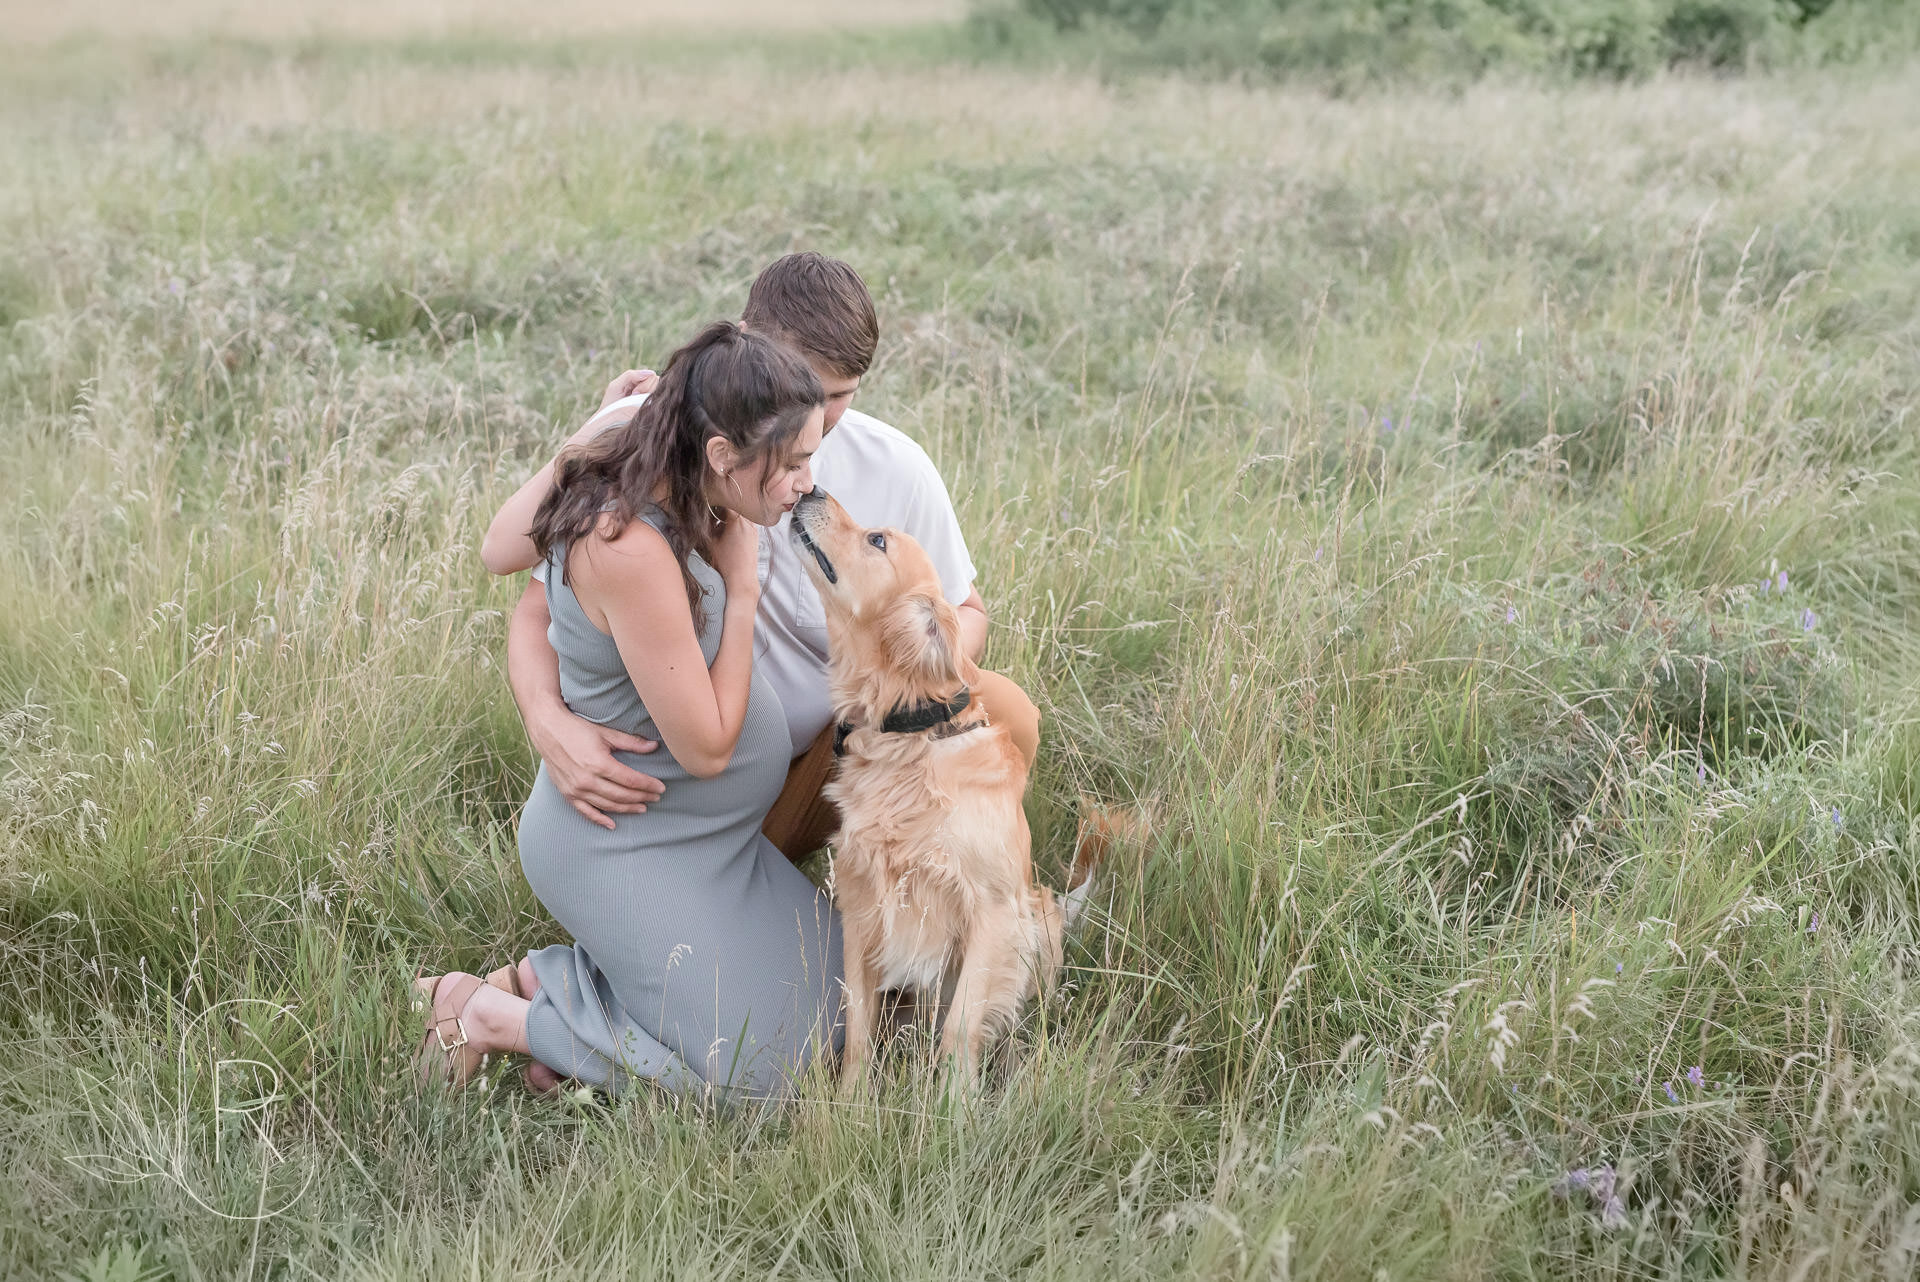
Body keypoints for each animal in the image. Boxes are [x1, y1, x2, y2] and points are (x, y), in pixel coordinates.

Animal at [783, 491, 1082, 1090]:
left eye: (877, 539)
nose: (810, 491)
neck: (908, 736)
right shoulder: (861, 902)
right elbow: (857, 1021)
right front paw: (852, 1101)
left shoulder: (992, 909)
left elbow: (961, 1026)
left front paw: (954, 1105)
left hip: (1037, 918)